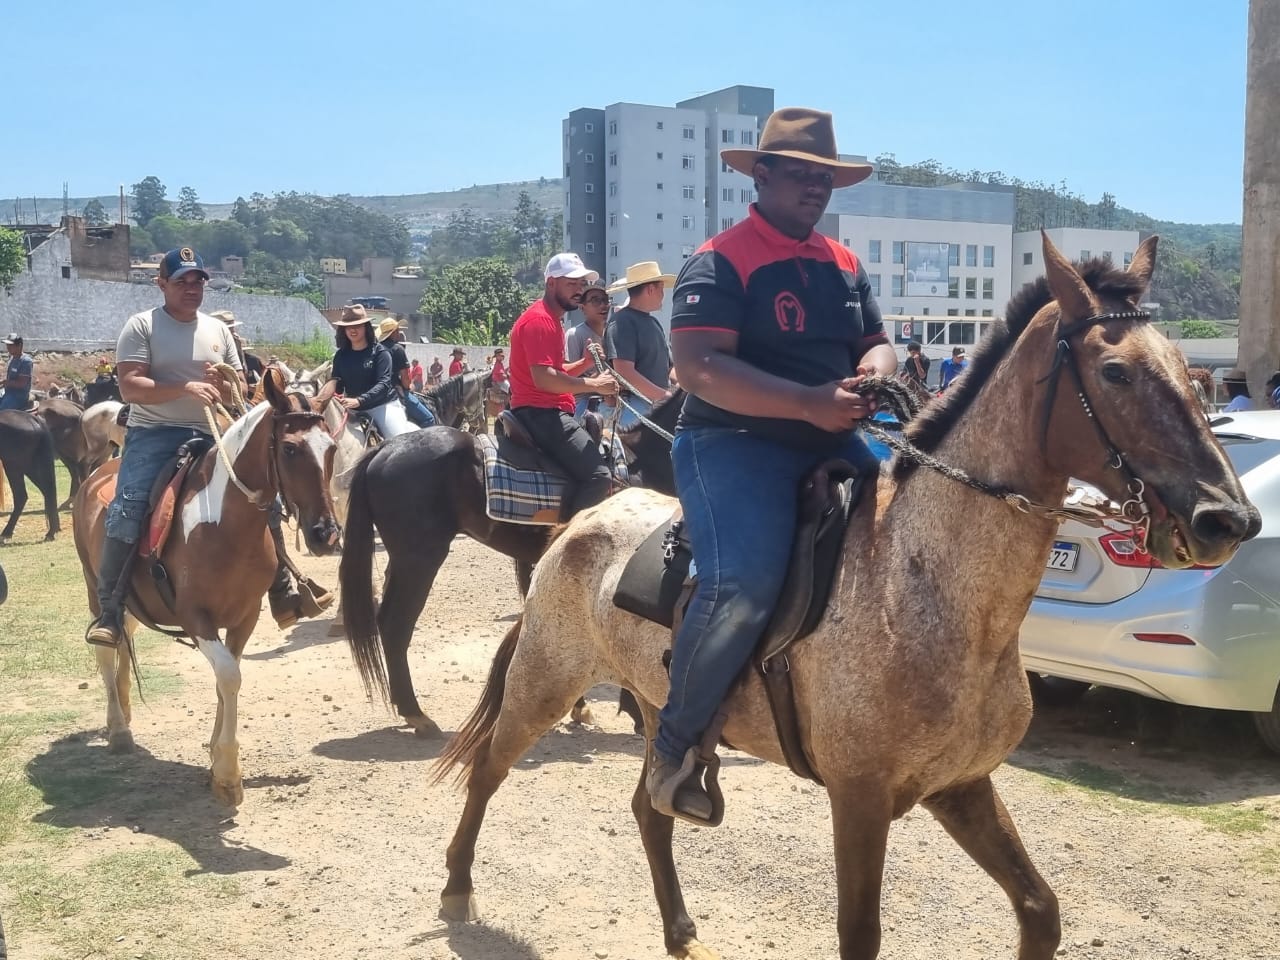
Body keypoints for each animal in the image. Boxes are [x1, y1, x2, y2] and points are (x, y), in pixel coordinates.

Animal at [0, 411, 60, 541]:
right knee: (47, 492)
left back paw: (6, 533)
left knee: (21, 496)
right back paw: (52, 531)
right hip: (28, 467)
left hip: (14, 466)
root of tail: (31, 418)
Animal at [72, 372, 341, 806]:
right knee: (105, 648)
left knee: (124, 640)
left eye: (331, 447)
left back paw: (126, 710)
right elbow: (229, 676)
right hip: (95, 589)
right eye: (289, 448)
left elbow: (225, 679)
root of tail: (100, 472)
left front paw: (216, 766)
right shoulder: (196, 617)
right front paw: (228, 774)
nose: (325, 534)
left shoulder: (245, 616)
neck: (223, 522)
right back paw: (118, 729)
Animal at [340, 392, 684, 737]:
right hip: (420, 558)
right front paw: (633, 712)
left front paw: (583, 707)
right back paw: (417, 714)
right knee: (396, 626)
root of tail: (385, 449)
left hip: (403, 561)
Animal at [429, 236, 1261, 959]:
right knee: (489, 768)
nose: (1228, 519)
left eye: (1189, 368)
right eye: (1116, 373)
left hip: (662, 708)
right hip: (546, 681)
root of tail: (582, 521)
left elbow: (1039, 911)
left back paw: (680, 930)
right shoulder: (860, 800)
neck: (928, 585)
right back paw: (458, 886)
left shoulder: (962, 786)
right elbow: (860, 934)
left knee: (648, 808)